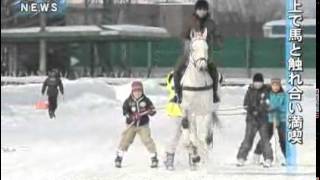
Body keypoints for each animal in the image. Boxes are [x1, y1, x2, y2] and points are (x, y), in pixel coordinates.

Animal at [180, 27, 218, 168]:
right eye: (193, 49)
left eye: (206, 48)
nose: (202, 66)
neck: (197, 83)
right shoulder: (188, 111)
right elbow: (191, 137)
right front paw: (195, 155)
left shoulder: (206, 112)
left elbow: (206, 138)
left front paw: (205, 160)